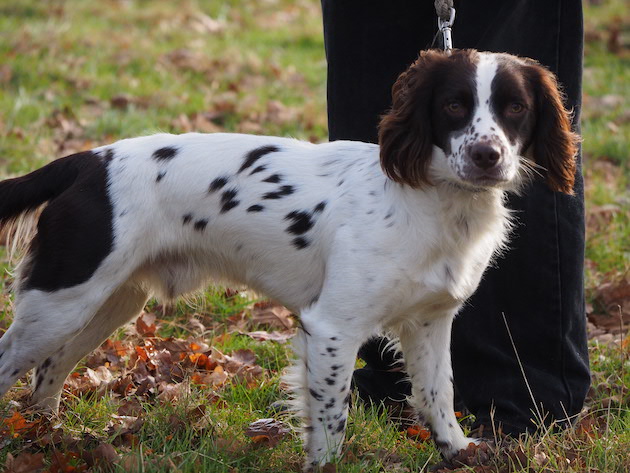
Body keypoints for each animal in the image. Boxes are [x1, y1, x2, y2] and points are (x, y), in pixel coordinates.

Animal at [0, 49, 576, 466]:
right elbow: (331, 421)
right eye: (454, 105)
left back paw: (47, 437)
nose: (487, 156)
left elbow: (439, 395)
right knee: (15, 361)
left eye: (515, 107)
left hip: (109, 303)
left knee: (49, 370)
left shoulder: (430, 322)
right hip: (62, 299)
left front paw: (458, 452)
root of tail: (88, 161)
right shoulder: (332, 328)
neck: (433, 201)